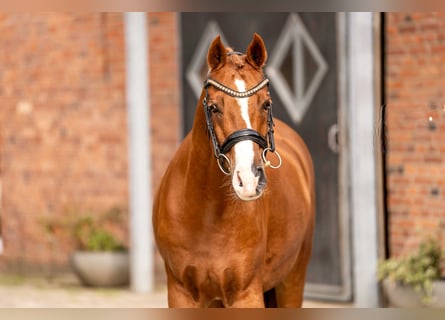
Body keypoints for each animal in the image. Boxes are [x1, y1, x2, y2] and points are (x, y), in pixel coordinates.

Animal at [154, 33, 314, 308]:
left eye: (266, 104)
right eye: (214, 107)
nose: (249, 180)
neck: (205, 215)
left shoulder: (246, 294)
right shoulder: (180, 293)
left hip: (293, 279)